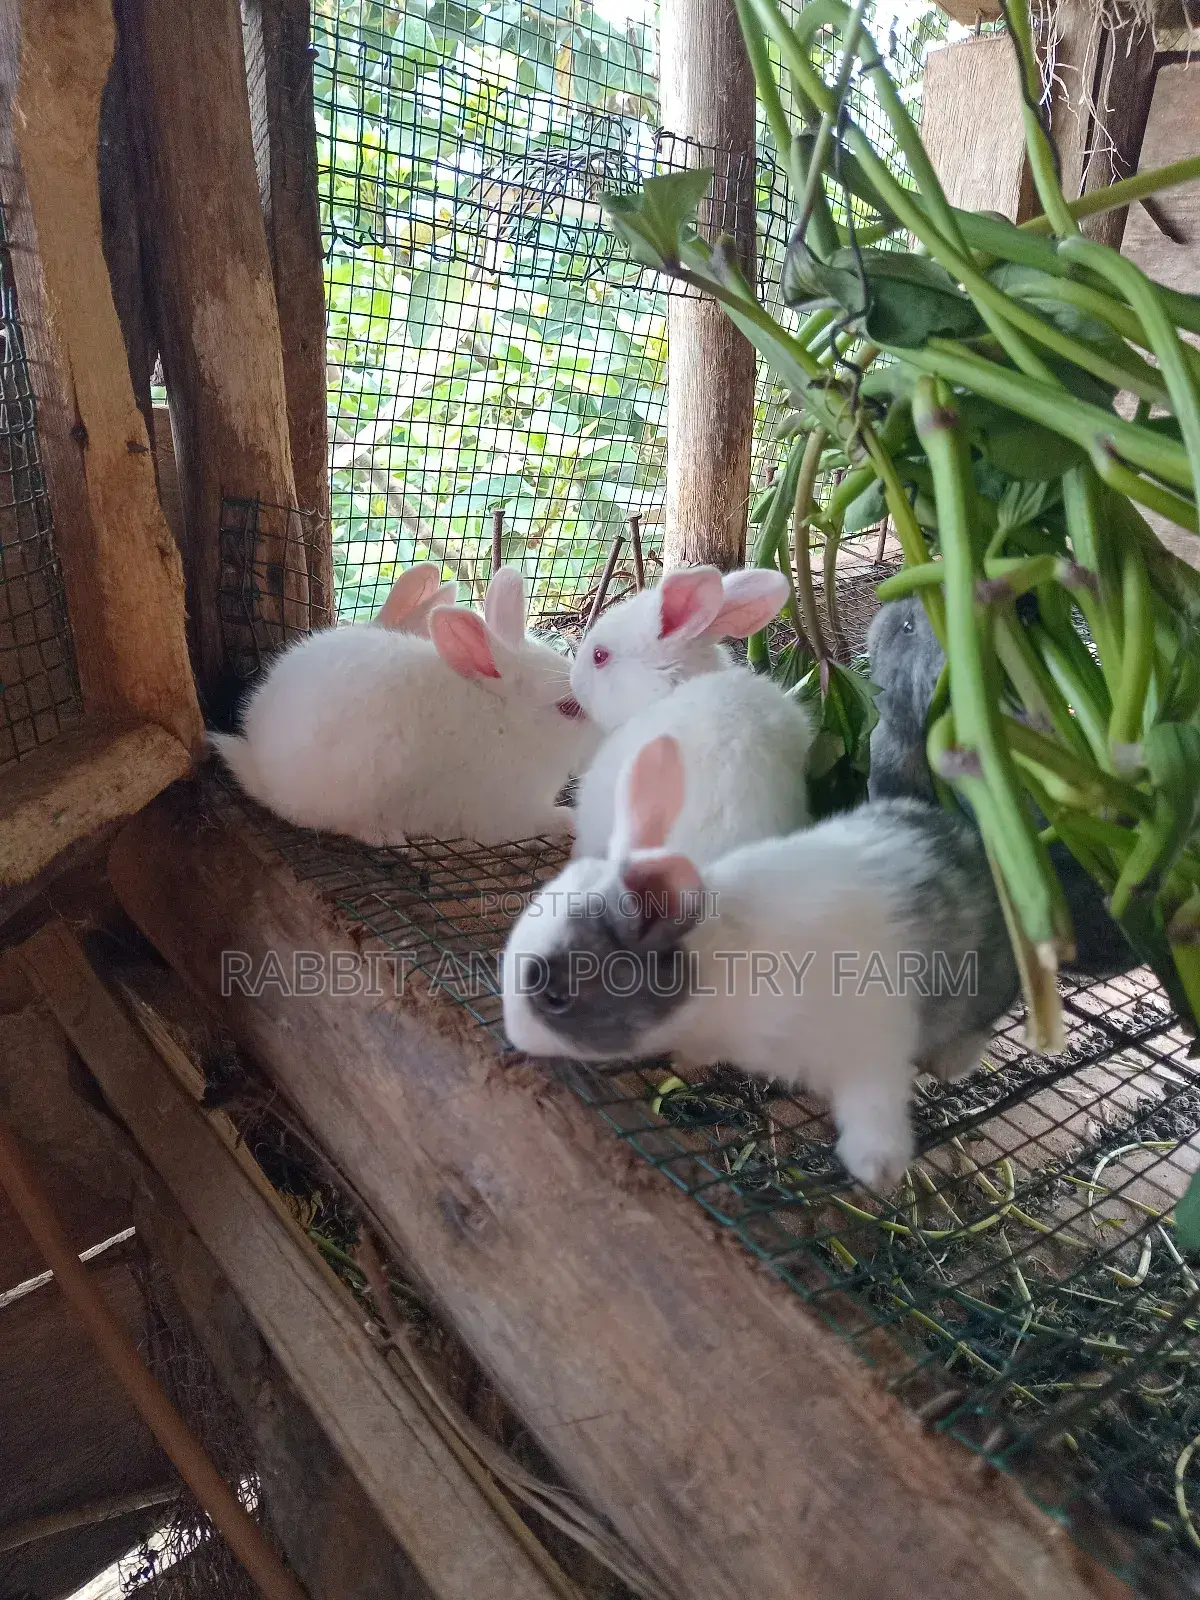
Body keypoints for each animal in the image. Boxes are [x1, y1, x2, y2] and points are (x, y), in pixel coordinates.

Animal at [210, 567, 600, 847]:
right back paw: (387, 835)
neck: (509, 722)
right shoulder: (509, 813)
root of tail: (260, 765)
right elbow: (538, 823)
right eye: (569, 708)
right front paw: (567, 821)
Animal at [503, 733, 1019, 1191]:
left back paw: (952, 1065)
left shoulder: (872, 1042)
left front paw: (877, 1170)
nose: (513, 1037)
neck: (717, 970)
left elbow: (874, 1103)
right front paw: (686, 1057)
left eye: (556, 996)